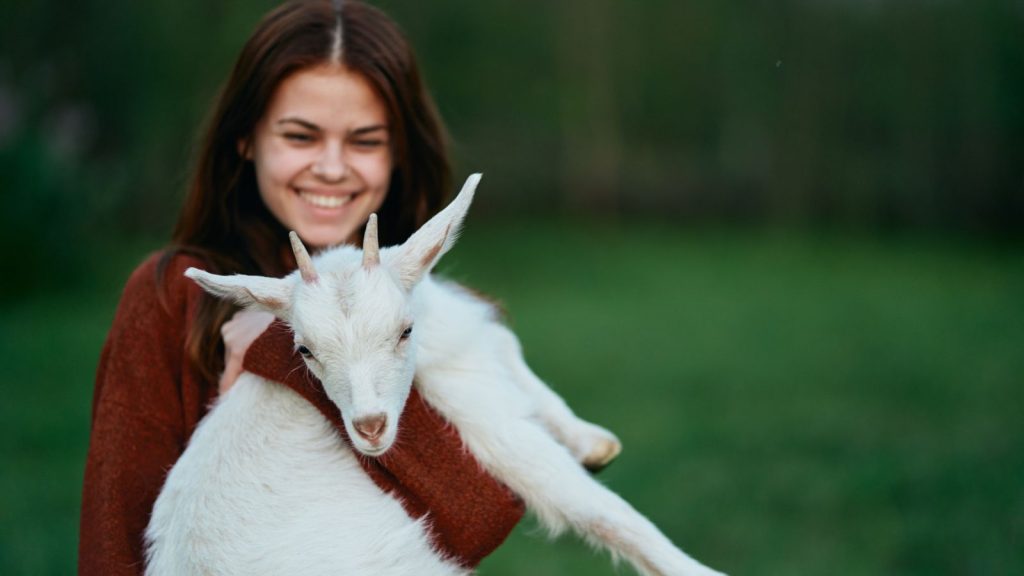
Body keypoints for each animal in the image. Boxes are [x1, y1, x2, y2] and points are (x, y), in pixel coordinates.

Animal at [145, 174, 725, 576]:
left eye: (404, 331)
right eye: (305, 351)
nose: (370, 427)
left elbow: (507, 346)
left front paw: (592, 441)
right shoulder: (483, 424)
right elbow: (595, 508)